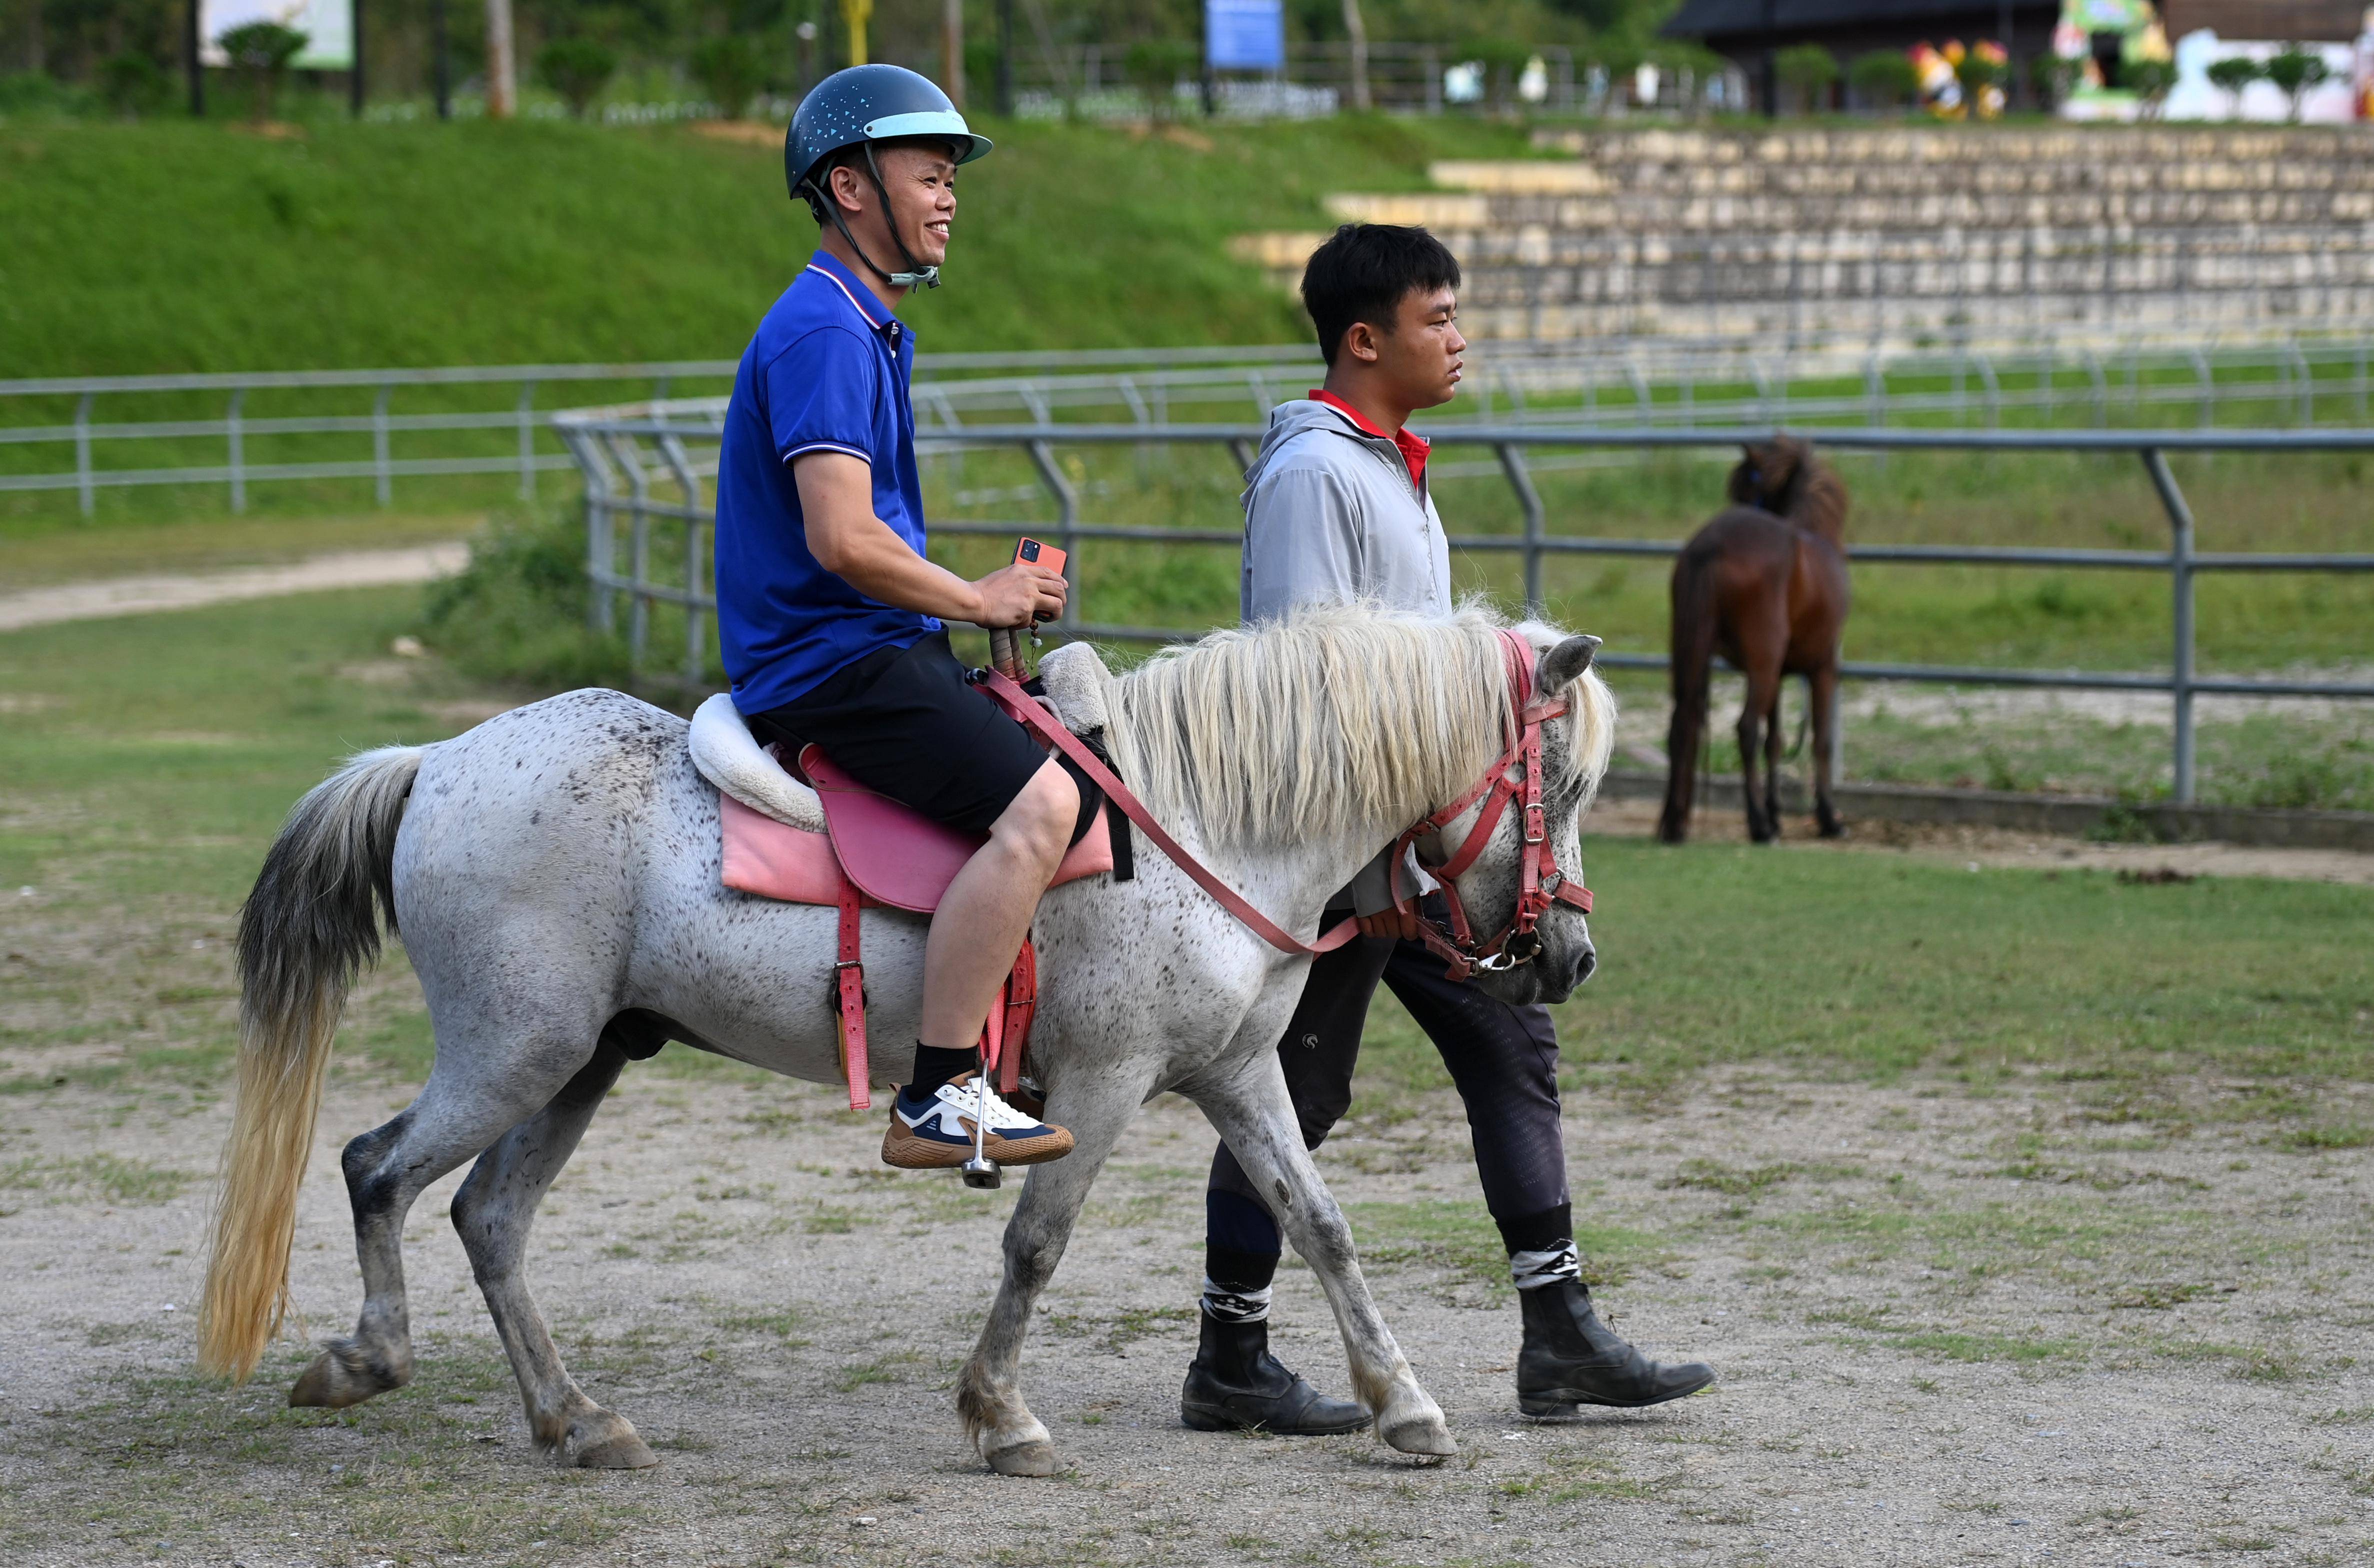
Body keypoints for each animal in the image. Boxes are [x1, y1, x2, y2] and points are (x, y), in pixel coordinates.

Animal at [1652, 434, 1852, 846]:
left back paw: (1676, 824)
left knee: (1683, 723)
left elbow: (1773, 741)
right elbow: (1820, 740)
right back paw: (1758, 824)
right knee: (1744, 728)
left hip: (1695, 655)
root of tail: (1711, 545)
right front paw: (1827, 819)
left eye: (1747, 491)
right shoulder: (1823, 667)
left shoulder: (1778, 673)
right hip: (1762, 665)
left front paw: (1777, 813)